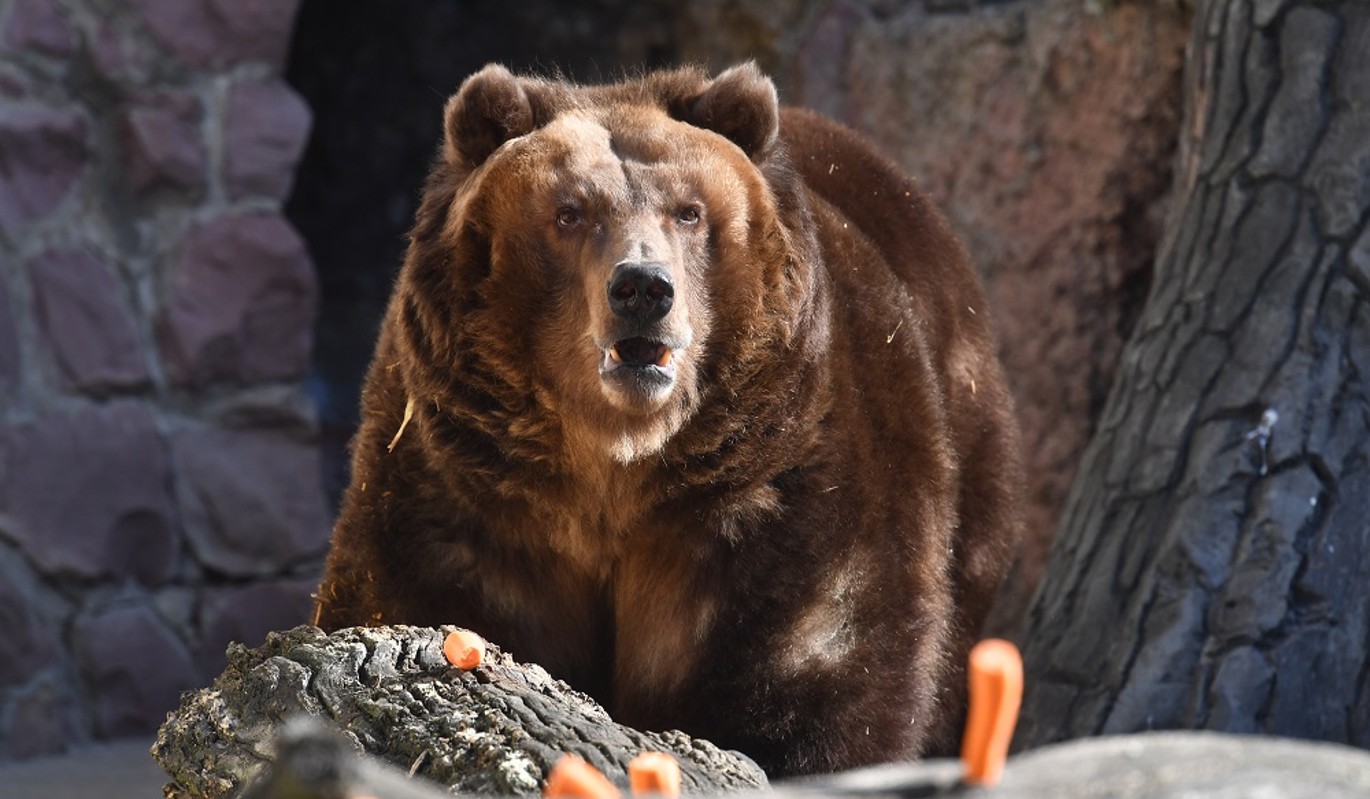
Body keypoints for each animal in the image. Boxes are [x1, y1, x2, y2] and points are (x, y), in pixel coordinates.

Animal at [310, 64, 1019, 783]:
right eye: (569, 211)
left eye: (689, 211)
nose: (644, 289)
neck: (616, 465)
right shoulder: (464, 492)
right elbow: (411, 597)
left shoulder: (779, 494)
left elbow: (818, 672)